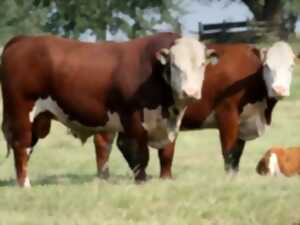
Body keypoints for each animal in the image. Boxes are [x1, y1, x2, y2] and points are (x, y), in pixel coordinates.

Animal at [0, 32, 218, 186]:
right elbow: (139, 154)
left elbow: (167, 153)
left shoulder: (168, 124)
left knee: (28, 147)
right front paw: (142, 181)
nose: (190, 92)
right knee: (21, 147)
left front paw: (166, 179)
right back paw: (25, 184)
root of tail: (23, 39)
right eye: (175, 65)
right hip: (21, 112)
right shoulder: (133, 121)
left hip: (37, 119)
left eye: (202, 64)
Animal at [94, 41, 296, 179]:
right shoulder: (227, 113)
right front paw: (229, 177)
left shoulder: (244, 120)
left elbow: (237, 152)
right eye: (267, 66)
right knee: (104, 142)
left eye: (291, 67)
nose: (279, 89)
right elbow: (229, 150)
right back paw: (104, 176)